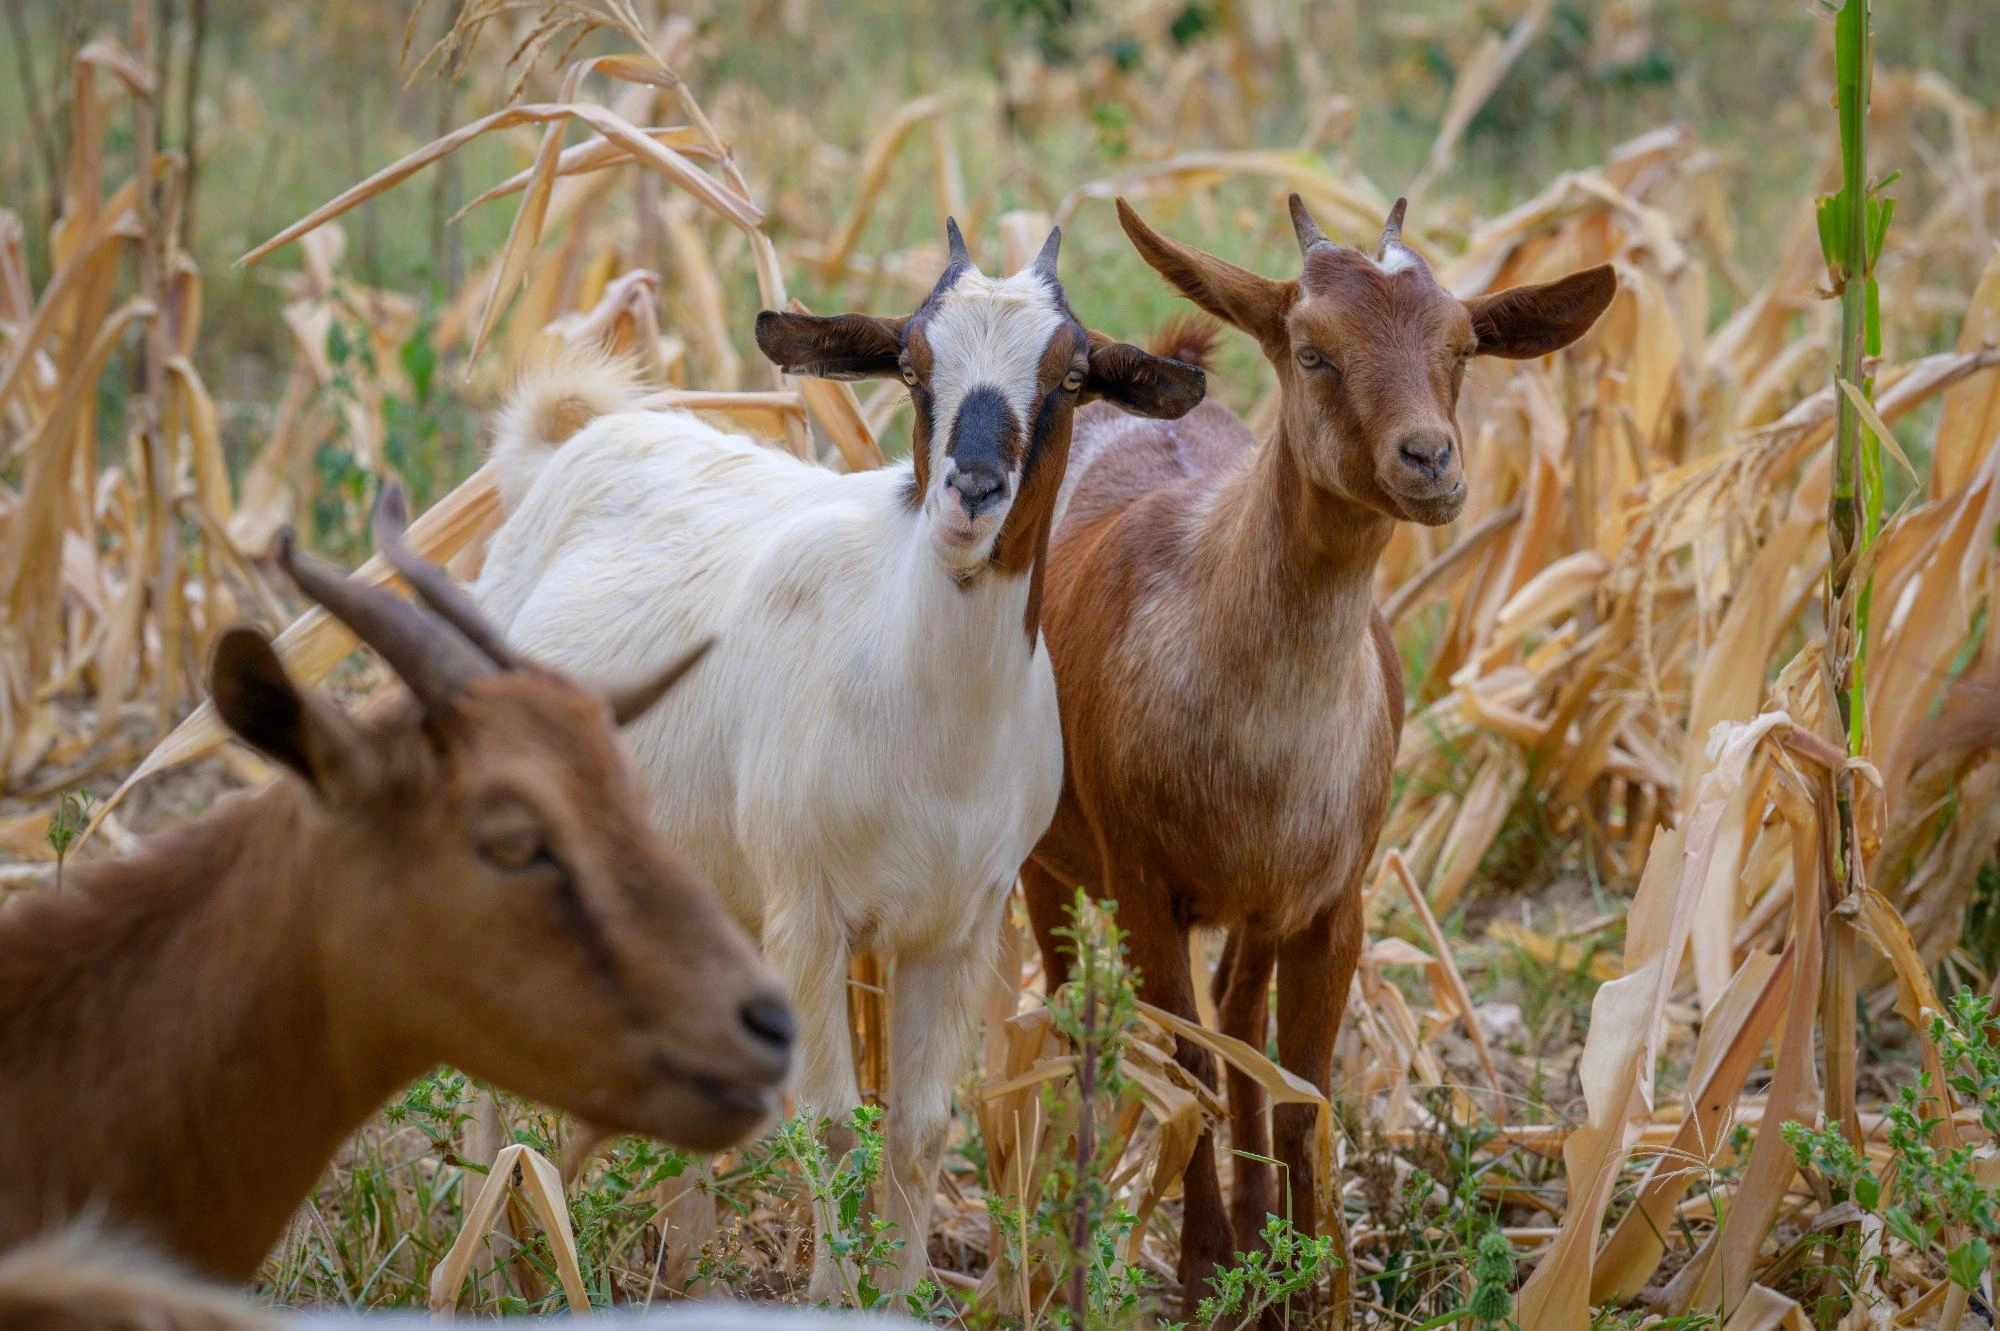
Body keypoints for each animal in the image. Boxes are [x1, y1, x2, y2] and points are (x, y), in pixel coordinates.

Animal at [469, 224, 1205, 1295]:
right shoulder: (806, 913)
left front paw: (895, 1293)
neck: (931, 726)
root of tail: (567, 446)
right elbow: (830, 1127)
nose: (970, 493)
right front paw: (833, 1295)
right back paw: (483, 1249)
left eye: (1071, 380)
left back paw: (679, 1255)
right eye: (911, 365)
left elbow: (919, 1128)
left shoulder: (958, 926)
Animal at [1020, 196, 1616, 1315]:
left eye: (1462, 346)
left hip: (1259, 903)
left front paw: (1303, 1281)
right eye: (1311, 349)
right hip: (1044, 856)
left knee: (1238, 1014)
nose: (1430, 461)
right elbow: (1186, 1074)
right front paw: (1206, 1271)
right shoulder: (1141, 876)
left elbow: (1297, 1092)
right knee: (1071, 1018)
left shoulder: (1333, 896)